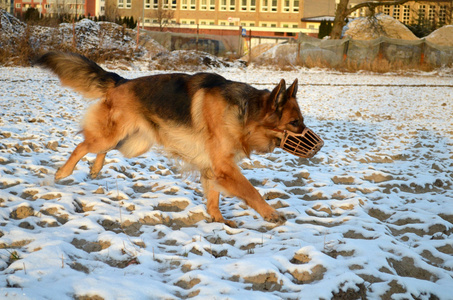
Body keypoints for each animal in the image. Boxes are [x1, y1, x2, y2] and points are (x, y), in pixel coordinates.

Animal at [35, 51, 312, 227]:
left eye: (301, 120)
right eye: (294, 123)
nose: (317, 147)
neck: (246, 112)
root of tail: (121, 81)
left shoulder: (213, 167)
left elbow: (214, 196)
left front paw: (218, 220)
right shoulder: (225, 167)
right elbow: (251, 191)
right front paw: (271, 214)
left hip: (133, 143)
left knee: (103, 148)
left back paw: (95, 168)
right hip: (112, 136)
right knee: (83, 145)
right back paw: (63, 173)